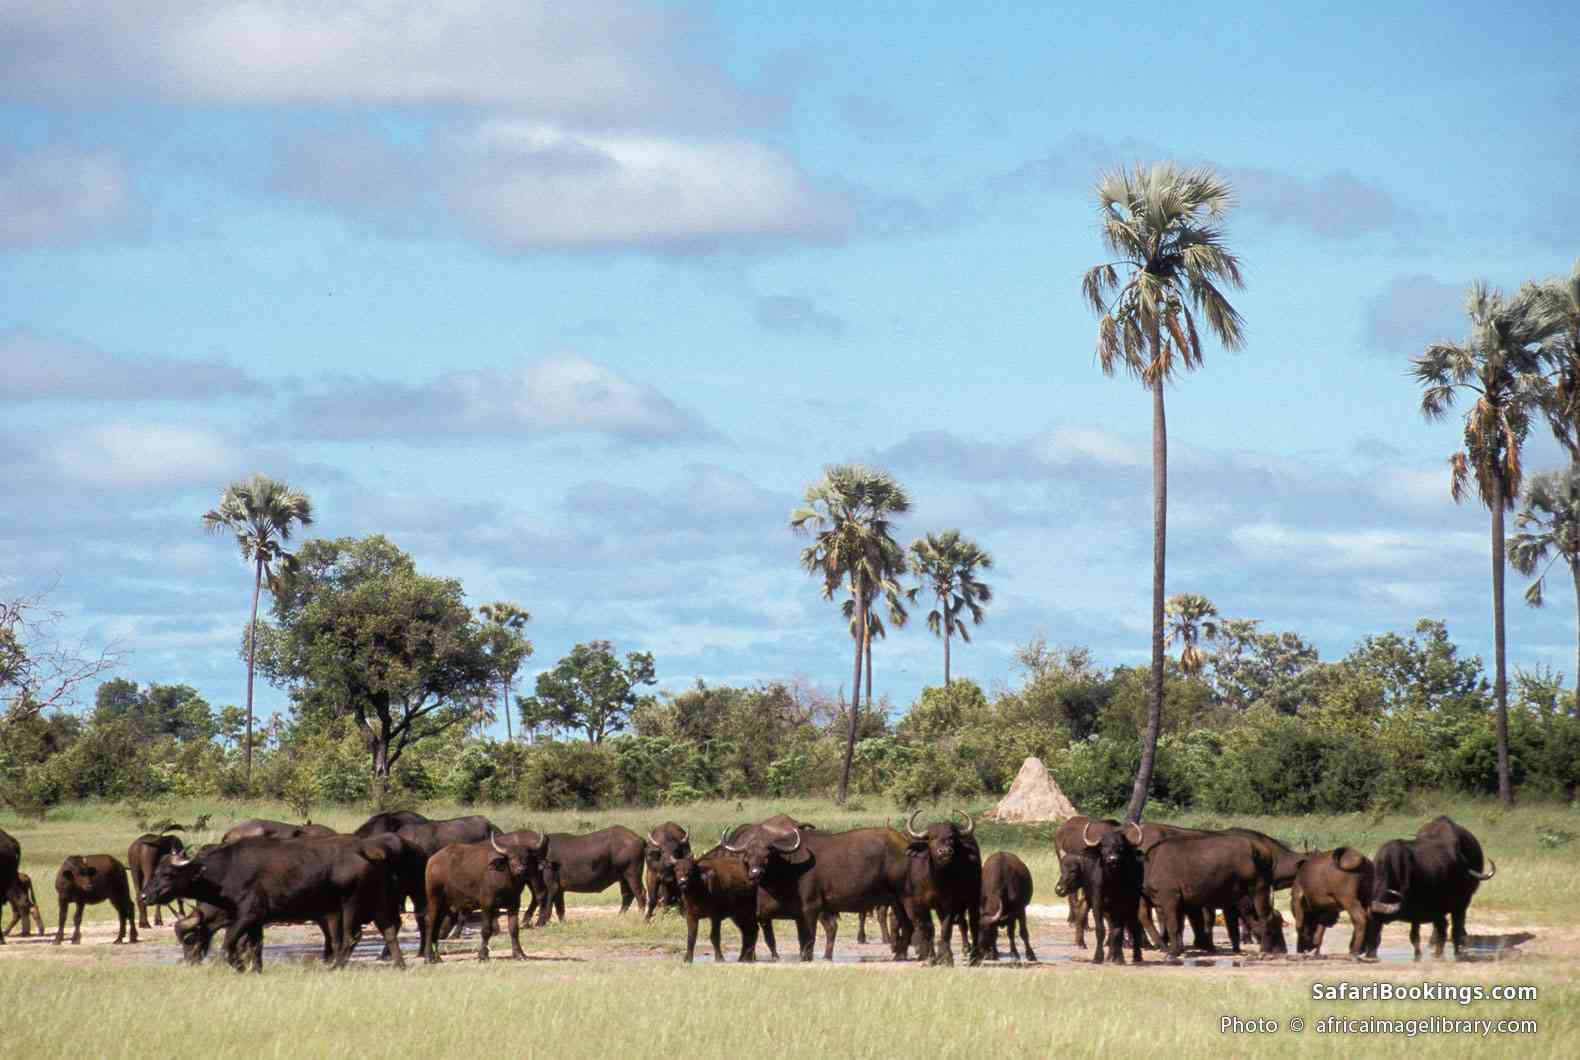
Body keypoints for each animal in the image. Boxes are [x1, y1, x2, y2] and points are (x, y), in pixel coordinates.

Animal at [423, 830, 549, 962]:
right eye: (511, 858)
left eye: (527, 858)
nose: (521, 869)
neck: (507, 881)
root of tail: (433, 860)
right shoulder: (487, 905)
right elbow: (486, 930)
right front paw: (483, 955)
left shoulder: (514, 904)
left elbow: (514, 929)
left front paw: (519, 954)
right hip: (434, 898)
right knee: (429, 921)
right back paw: (428, 956)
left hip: (445, 903)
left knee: (437, 923)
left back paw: (437, 956)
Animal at [1367, 816, 1495, 961]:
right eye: (1369, 921)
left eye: (1378, 921)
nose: (1369, 951)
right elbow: (1419, 934)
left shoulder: (1416, 910)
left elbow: (1415, 935)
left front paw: (1418, 956)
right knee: (1443, 926)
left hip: (1460, 903)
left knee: (1456, 926)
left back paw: (1456, 950)